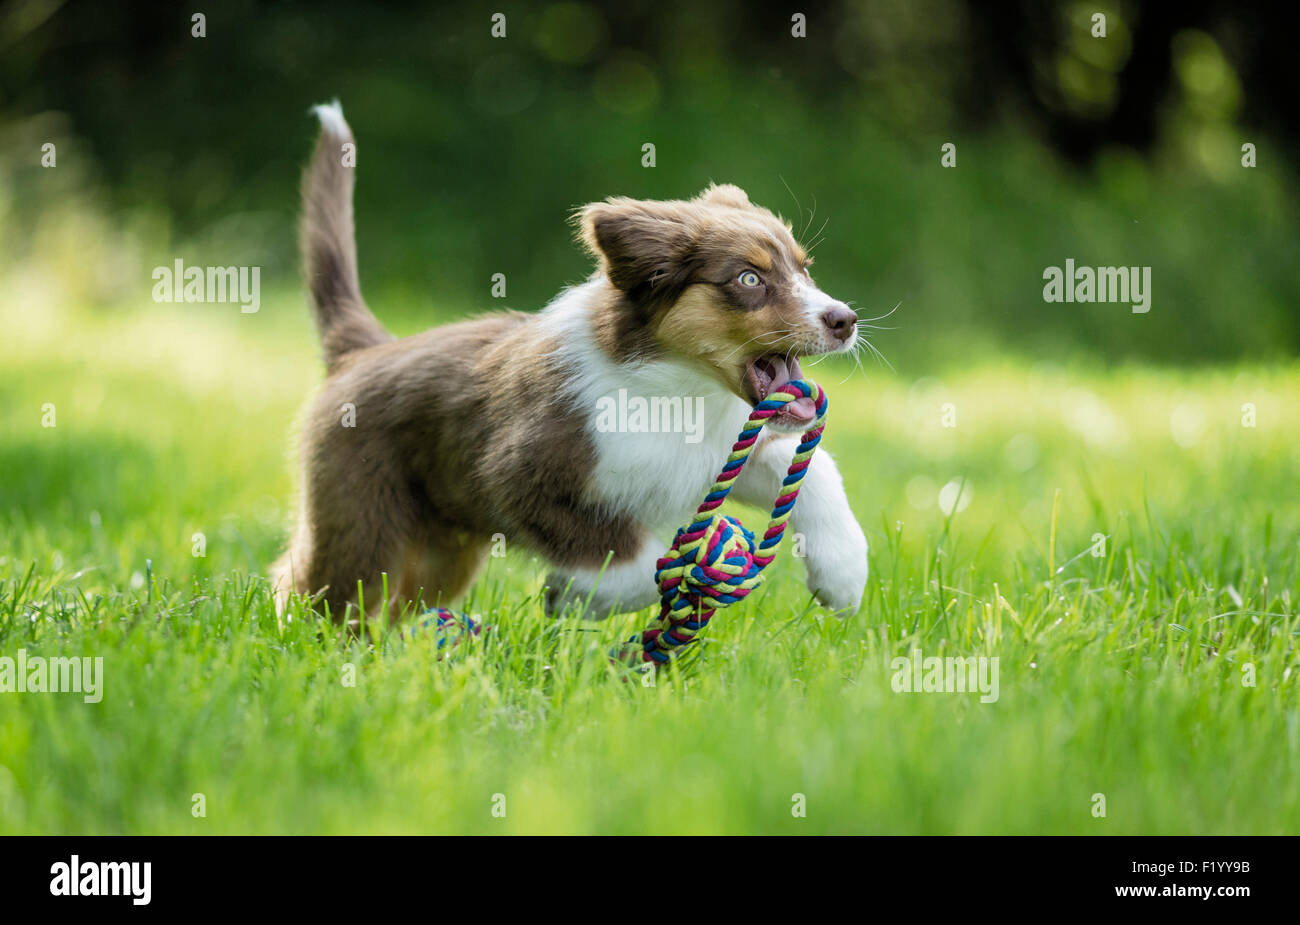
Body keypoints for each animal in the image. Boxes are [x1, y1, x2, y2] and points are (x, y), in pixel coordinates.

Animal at [270, 103, 868, 620]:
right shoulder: (519, 477)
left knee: (395, 607)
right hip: (361, 521)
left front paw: (843, 576)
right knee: (313, 592)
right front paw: (575, 596)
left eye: (805, 269)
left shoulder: (721, 454)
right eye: (749, 279)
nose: (846, 320)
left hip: (446, 549)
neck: (680, 388)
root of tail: (365, 349)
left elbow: (815, 470)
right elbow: (634, 564)